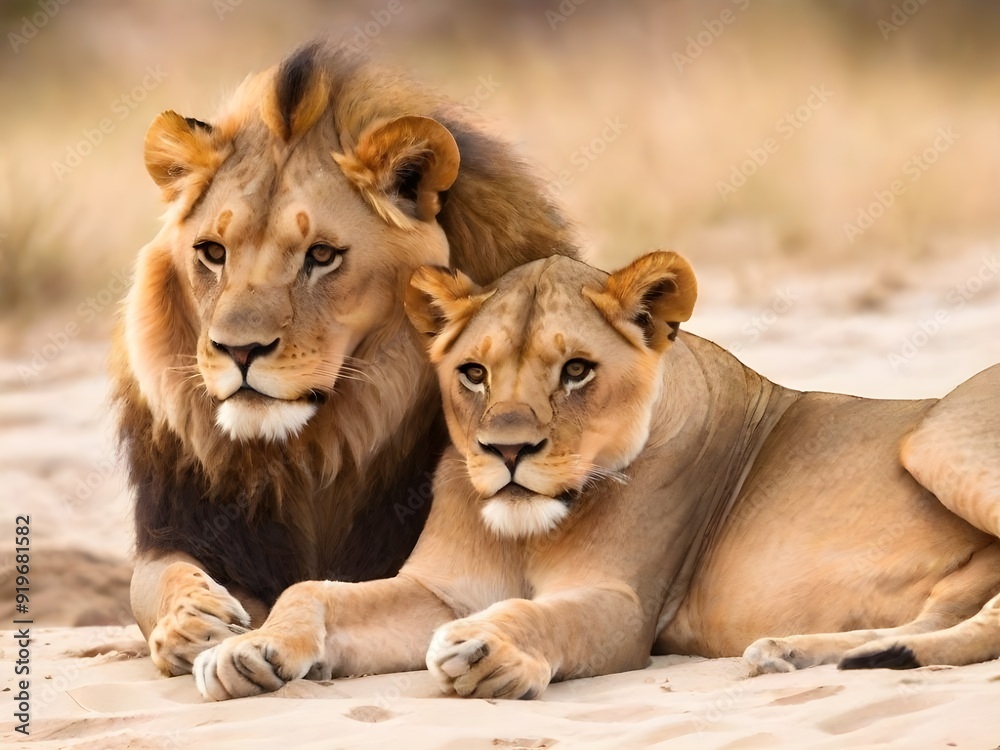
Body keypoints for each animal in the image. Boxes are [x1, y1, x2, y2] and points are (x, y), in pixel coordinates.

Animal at [112, 41, 576, 676]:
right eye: (212, 252)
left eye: (322, 256)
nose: (239, 349)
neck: (316, 449)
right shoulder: (181, 522)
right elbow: (154, 580)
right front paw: (192, 620)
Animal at [192, 250, 1000, 701]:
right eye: (474, 373)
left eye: (577, 370)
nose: (507, 451)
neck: (526, 531)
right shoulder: (438, 592)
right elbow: (310, 590)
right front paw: (244, 652)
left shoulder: (625, 605)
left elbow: (547, 616)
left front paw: (491, 652)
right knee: (949, 617)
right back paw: (807, 653)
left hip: (935, 441)